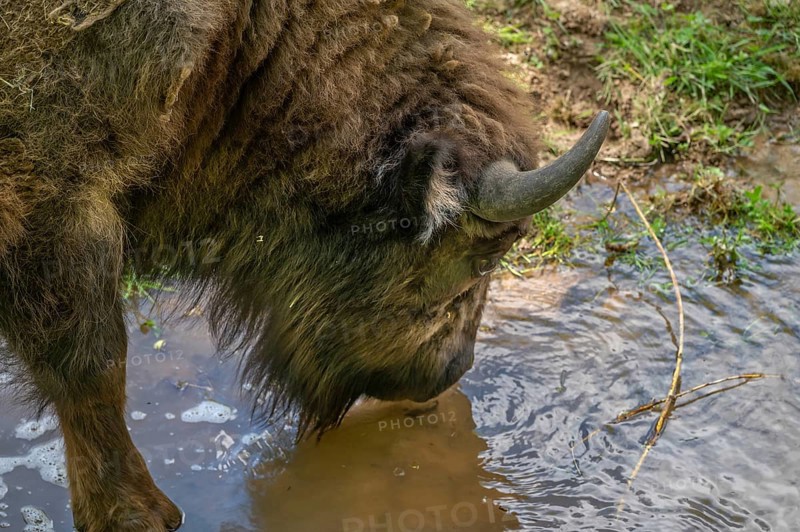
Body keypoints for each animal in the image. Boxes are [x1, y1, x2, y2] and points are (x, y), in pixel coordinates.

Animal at [0, 0, 608, 530]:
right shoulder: (57, 205)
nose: (451, 371)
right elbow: (93, 366)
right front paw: (139, 515)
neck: (241, 45)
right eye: (480, 260)